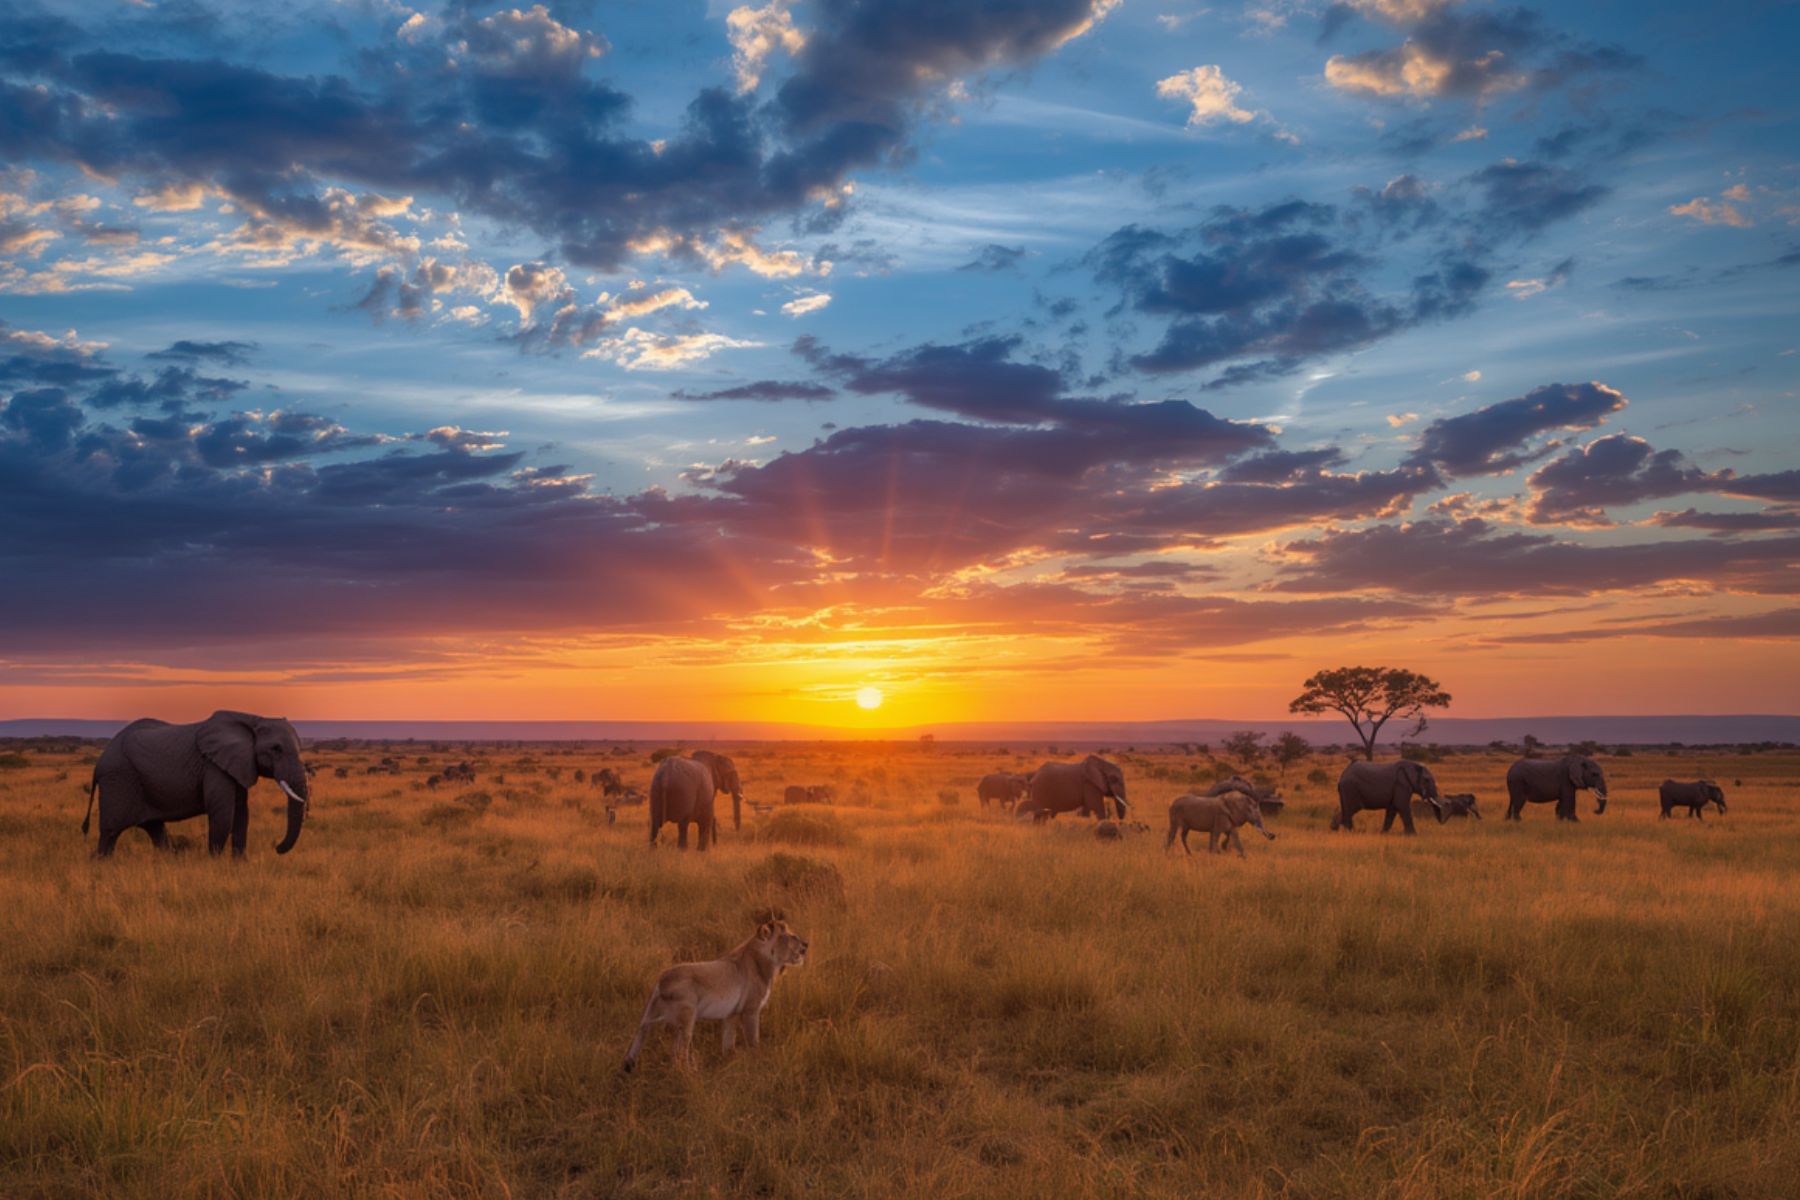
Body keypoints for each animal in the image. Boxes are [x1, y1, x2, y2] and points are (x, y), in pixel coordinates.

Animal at [621, 920, 809, 1072]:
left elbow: (728, 1042)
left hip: (648, 1017)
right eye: (789, 935)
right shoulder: (751, 1010)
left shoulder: (731, 1014)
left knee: (640, 1039)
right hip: (688, 1016)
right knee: (679, 1054)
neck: (768, 962)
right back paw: (690, 1072)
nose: (806, 944)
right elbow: (753, 1040)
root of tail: (661, 980)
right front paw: (758, 1063)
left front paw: (729, 1061)